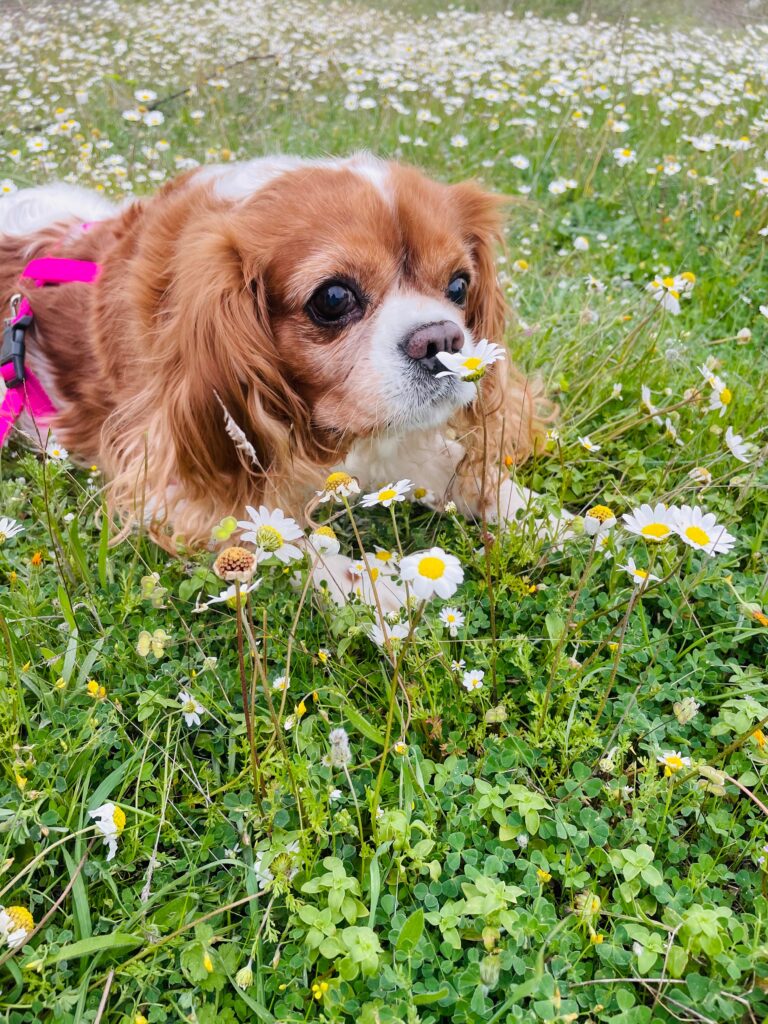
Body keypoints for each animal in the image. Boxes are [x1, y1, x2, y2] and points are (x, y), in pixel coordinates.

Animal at [1, 152, 552, 561]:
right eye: (333, 298)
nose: (440, 339)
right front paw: (372, 591)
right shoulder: (172, 483)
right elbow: (286, 539)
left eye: (459, 286)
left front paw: (559, 523)